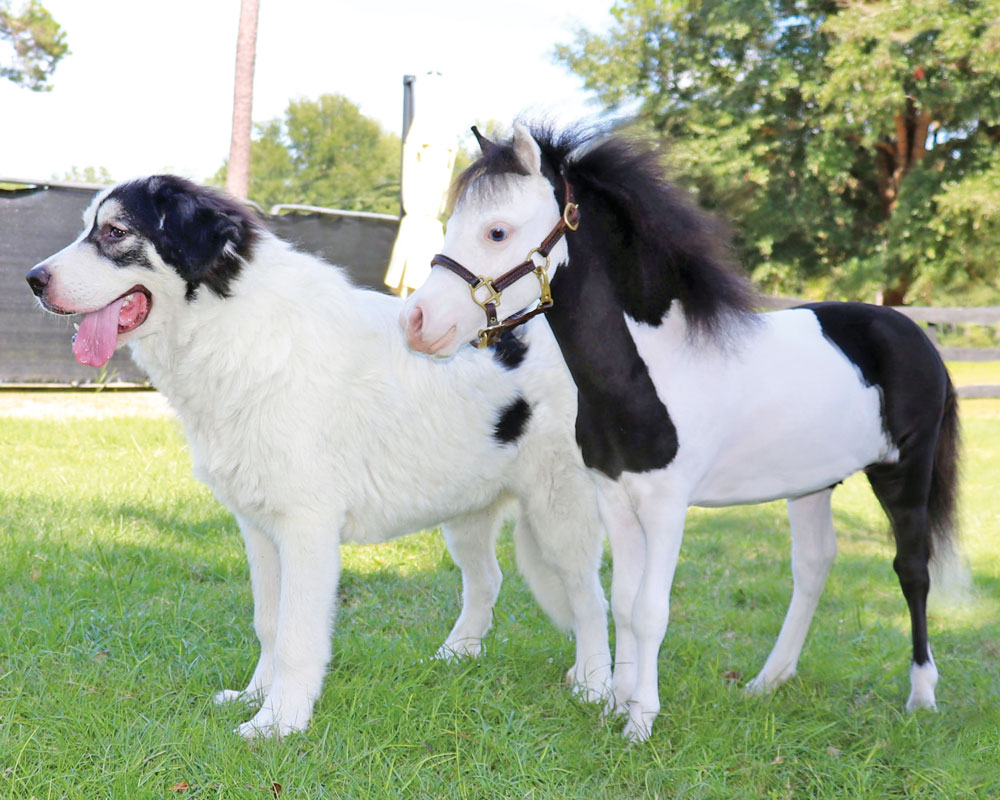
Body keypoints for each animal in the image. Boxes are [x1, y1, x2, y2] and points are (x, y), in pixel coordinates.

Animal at [27, 173, 612, 736]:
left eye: (115, 232)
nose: (33, 279)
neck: (228, 324)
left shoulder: (307, 527)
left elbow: (295, 635)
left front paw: (280, 723)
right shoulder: (259, 527)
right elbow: (269, 622)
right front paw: (255, 698)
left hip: (561, 513)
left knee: (591, 599)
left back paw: (594, 685)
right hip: (466, 509)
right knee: (487, 580)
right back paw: (456, 656)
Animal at [402, 125, 956, 744]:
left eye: (497, 230)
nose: (419, 323)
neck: (647, 371)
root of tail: (913, 332)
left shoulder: (667, 506)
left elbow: (649, 611)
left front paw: (640, 720)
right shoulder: (615, 499)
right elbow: (623, 601)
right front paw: (615, 703)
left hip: (904, 474)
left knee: (912, 570)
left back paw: (922, 697)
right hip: (812, 485)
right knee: (813, 566)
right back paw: (769, 681)